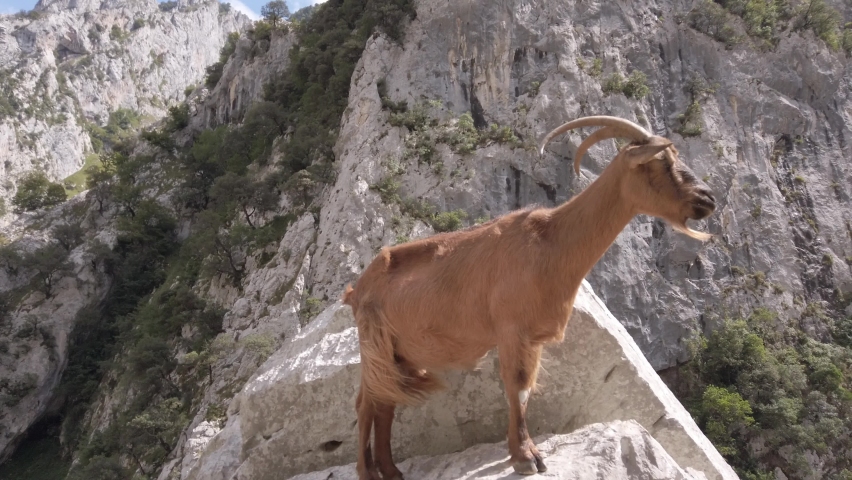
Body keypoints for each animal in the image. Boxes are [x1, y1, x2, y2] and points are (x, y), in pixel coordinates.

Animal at [343, 116, 716, 479]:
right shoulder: (513, 330)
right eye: (662, 162)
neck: (552, 242)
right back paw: (367, 471)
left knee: (385, 402)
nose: (707, 198)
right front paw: (526, 458)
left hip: (400, 353)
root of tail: (355, 291)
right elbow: (517, 388)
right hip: (374, 344)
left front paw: (526, 453)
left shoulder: (532, 338)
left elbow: (525, 391)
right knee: (366, 401)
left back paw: (391, 471)